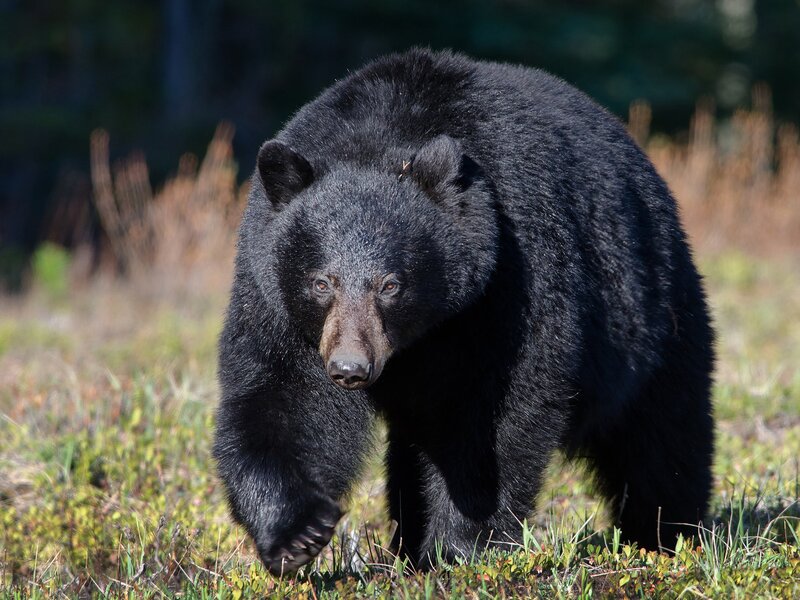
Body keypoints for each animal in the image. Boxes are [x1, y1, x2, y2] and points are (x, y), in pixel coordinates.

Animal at [213, 48, 715, 576]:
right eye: (321, 282)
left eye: (391, 285)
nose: (350, 368)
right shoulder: (275, 296)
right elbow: (281, 396)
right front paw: (297, 534)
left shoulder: (510, 276)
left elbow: (499, 411)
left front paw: (460, 546)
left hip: (655, 313)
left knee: (663, 432)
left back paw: (667, 534)